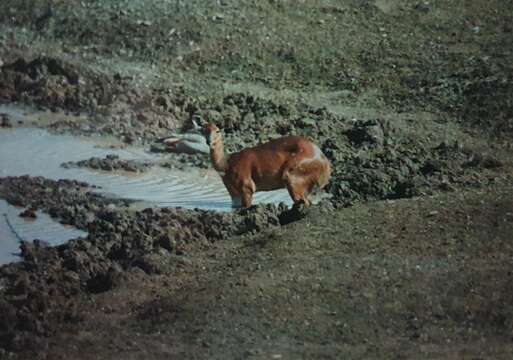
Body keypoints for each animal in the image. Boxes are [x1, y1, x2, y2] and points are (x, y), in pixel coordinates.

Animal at [202, 123, 330, 208]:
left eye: (217, 131)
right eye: (204, 130)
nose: (209, 142)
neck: (227, 164)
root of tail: (325, 164)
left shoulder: (247, 186)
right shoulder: (234, 194)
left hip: (293, 175)